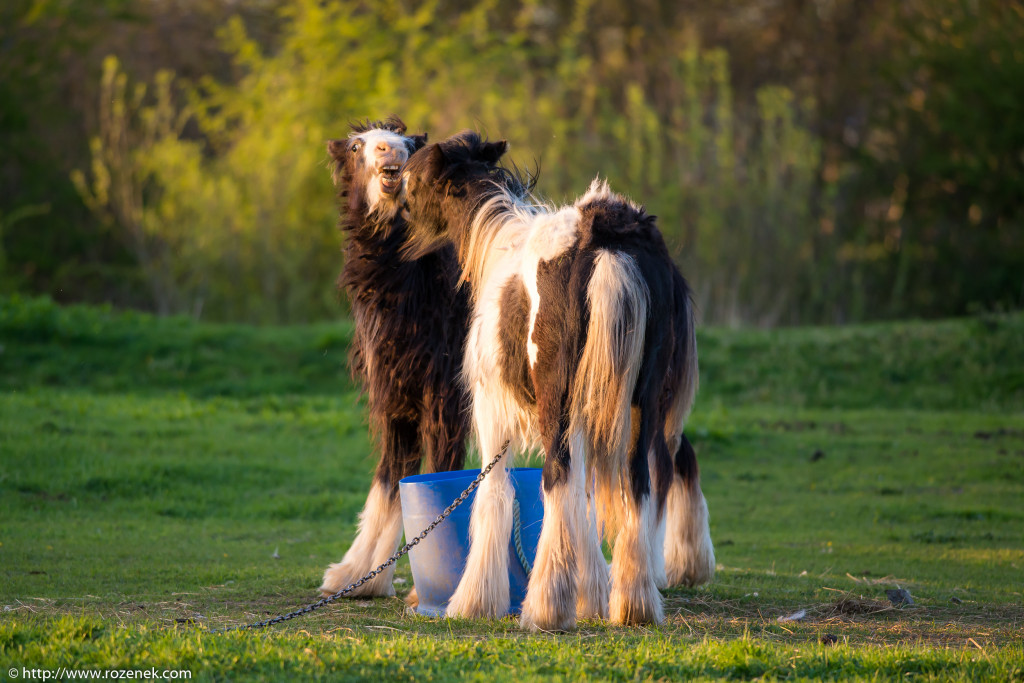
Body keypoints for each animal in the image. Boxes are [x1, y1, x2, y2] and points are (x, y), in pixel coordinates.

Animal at [319, 118, 471, 602]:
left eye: (409, 143)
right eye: (355, 146)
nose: (391, 153)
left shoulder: (446, 386)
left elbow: (443, 469)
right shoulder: (394, 388)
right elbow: (392, 473)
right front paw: (355, 575)